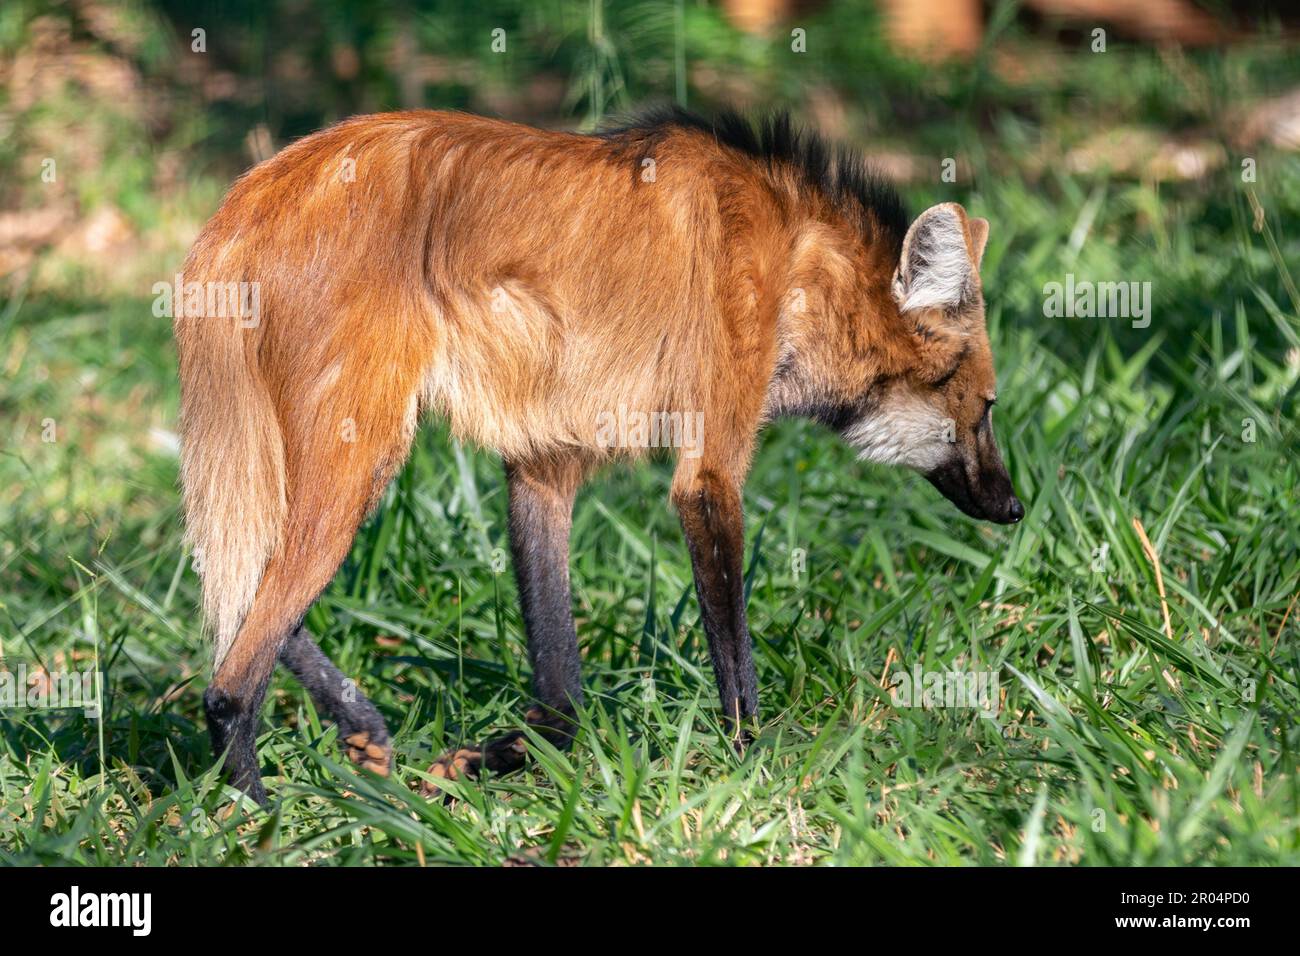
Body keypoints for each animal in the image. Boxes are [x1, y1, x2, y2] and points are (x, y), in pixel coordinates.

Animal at [175, 108, 1024, 806]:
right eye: (985, 409)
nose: (1014, 507)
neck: (802, 262)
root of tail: (242, 204)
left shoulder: (543, 467)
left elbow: (561, 694)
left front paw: (501, 759)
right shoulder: (708, 470)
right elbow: (733, 652)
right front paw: (755, 765)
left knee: (249, 599)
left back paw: (361, 731)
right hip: (363, 451)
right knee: (231, 676)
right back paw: (260, 813)